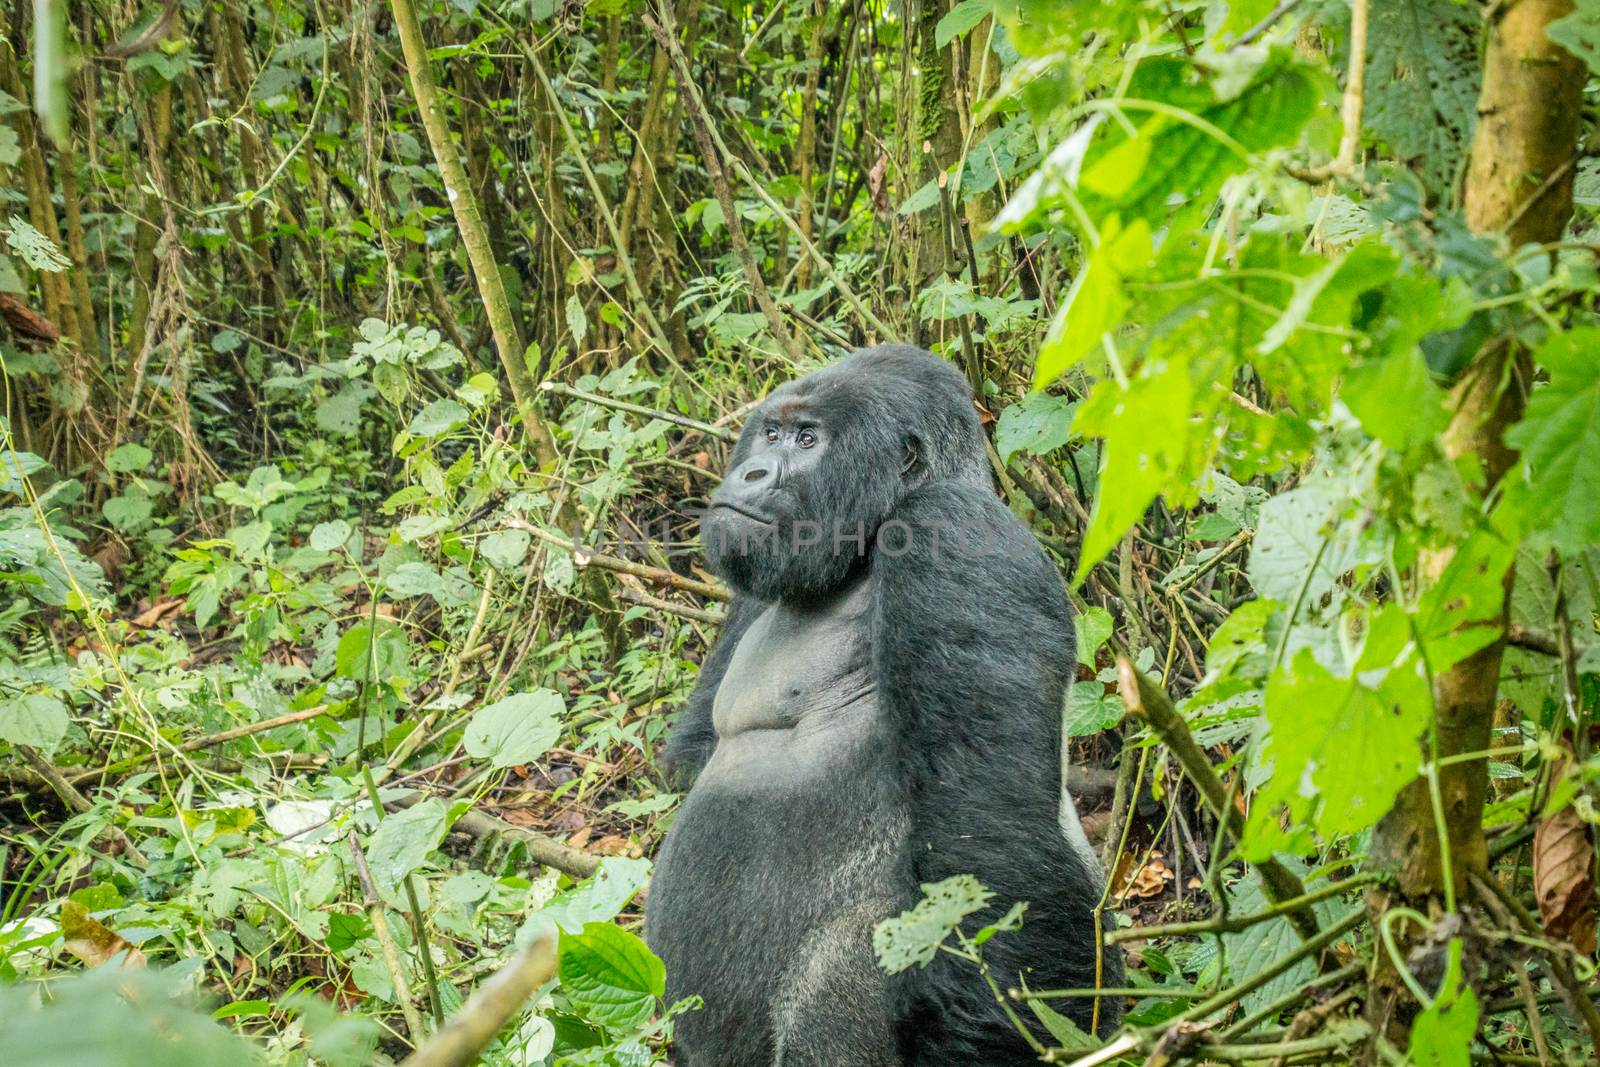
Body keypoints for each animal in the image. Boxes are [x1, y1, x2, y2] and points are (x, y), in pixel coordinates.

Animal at [643, 347, 1120, 1062]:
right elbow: (692, 758)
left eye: (808, 442)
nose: (750, 471)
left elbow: (992, 841)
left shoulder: (954, 530)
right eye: (771, 433)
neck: (866, 547)